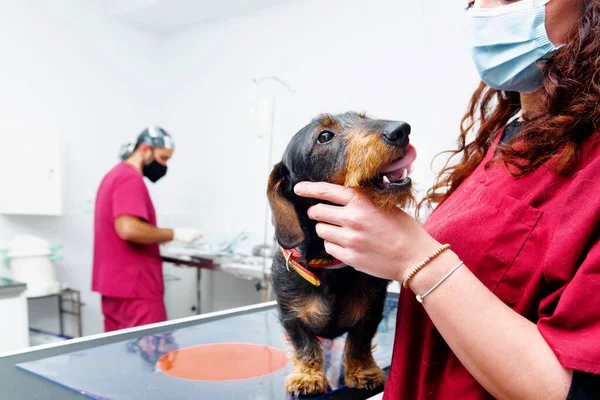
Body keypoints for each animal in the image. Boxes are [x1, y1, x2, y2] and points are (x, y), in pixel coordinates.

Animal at [268, 111, 418, 396]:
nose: (401, 130)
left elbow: (358, 343)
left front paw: (363, 371)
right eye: (324, 136)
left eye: (362, 117)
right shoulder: (291, 316)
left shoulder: (372, 312)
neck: (330, 265)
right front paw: (307, 376)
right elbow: (305, 345)